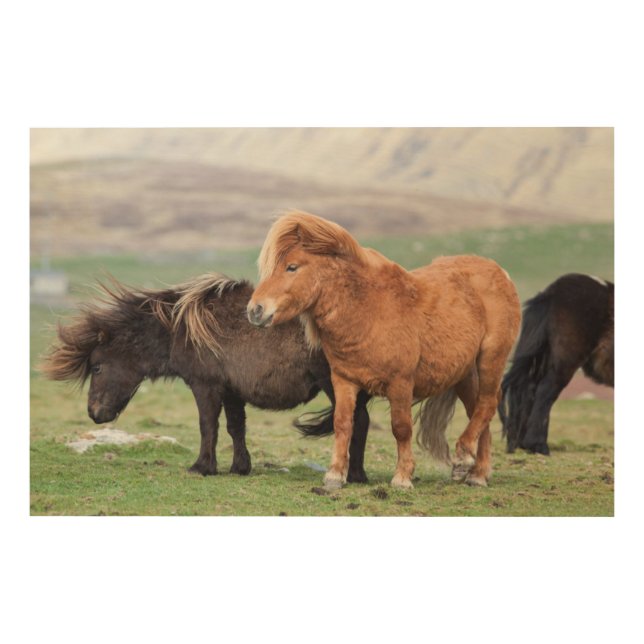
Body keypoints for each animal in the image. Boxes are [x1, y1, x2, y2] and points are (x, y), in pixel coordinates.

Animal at [41, 273, 371, 481]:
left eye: (97, 367)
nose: (94, 413)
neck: (182, 329)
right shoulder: (232, 390)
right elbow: (236, 428)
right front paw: (240, 467)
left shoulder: (205, 386)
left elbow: (207, 426)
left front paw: (201, 467)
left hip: (334, 384)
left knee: (357, 422)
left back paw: (353, 475)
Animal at [247, 210, 521, 489]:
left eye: (292, 267)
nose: (254, 310)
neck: (368, 310)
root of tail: (499, 272)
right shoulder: (343, 380)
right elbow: (342, 423)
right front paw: (335, 475)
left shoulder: (400, 383)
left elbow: (401, 428)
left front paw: (402, 477)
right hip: (463, 373)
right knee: (478, 409)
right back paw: (477, 472)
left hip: (491, 358)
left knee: (487, 403)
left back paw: (465, 457)